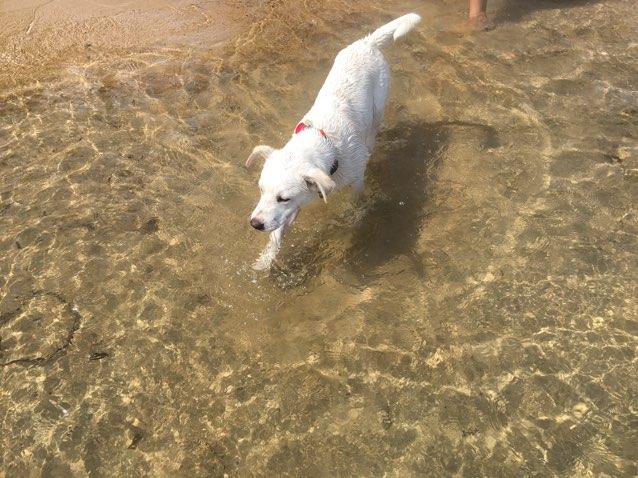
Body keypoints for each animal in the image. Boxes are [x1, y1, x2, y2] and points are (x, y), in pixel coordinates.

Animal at [248, 14, 422, 268]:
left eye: (283, 198)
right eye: (261, 190)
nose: (255, 224)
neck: (328, 145)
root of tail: (367, 42)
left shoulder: (355, 181)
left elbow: (355, 202)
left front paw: (354, 218)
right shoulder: (295, 207)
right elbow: (277, 234)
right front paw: (265, 261)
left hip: (378, 107)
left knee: (373, 132)